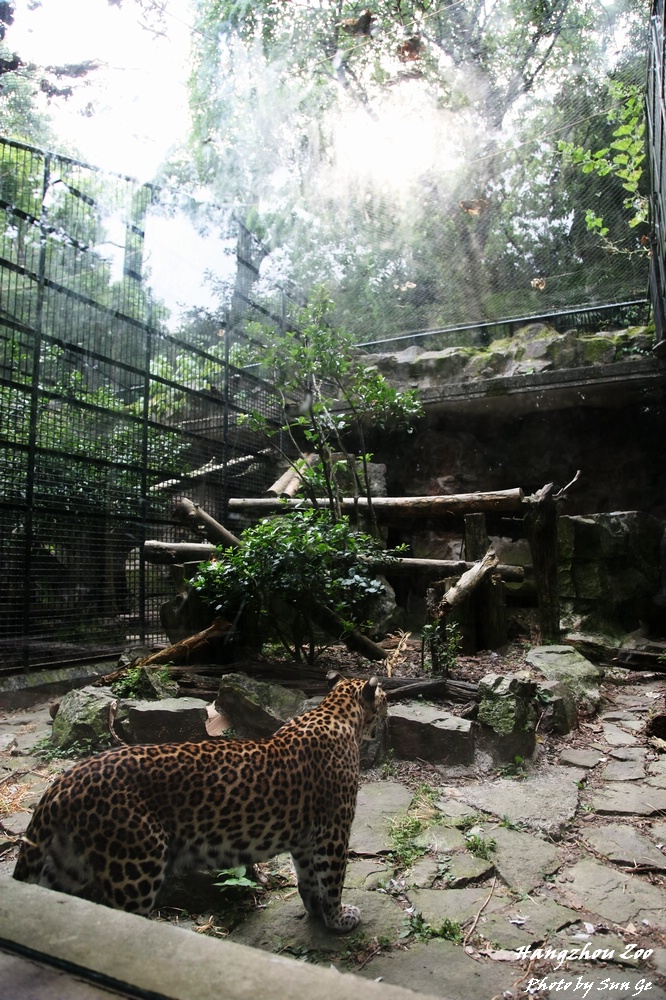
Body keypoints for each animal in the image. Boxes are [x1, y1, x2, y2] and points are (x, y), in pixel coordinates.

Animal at [13, 671, 387, 933]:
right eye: (383, 700)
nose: (384, 720)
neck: (337, 713)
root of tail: (64, 781)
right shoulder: (333, 830)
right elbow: (332, 878)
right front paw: (339, 918)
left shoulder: (306, 836)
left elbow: (308, 877)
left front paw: (316, 911)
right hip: (135, 865)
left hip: (66, 864)